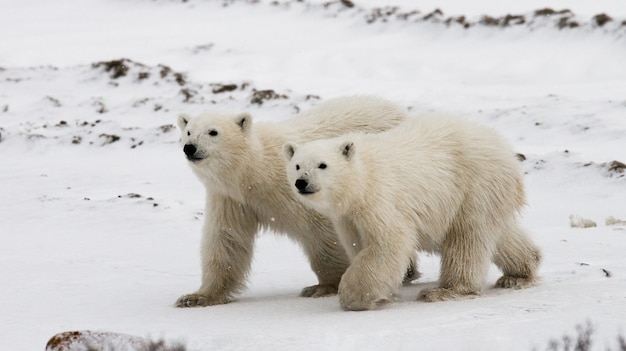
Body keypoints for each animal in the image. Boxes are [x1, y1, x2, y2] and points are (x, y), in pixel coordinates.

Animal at [173, 94, 414, 308]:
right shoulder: (230, 199)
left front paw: (323, 286)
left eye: (213, 132)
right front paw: (196, 297)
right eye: (188, 131)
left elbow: (322, 231)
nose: (190, 147)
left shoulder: (296, 188)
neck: (253, 172)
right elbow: (226, 239)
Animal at [282, 114, 540, 312]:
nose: (302, 182)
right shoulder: (348, 217)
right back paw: (520, 272)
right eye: (297, 165)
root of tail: (505, 150)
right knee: (499, 235)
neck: (361, 180)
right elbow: (358, 244)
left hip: (475, 185)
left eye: (322, 165)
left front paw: (354, 296)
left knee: (467, 238)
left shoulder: (380, 197)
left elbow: (389, 242)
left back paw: (443, 290)